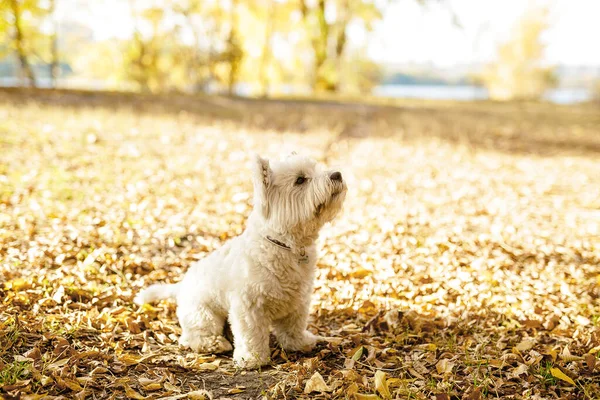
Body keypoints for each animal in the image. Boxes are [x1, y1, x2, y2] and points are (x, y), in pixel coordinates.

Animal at [133, 153, 344, 368]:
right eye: (300, 180)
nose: (337, 174)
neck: (285, 244)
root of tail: (180, 286)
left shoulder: (298, 302)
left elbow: (293, 326)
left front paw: (299, 343)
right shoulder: (249, 306)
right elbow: (252, 335)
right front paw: (252, 359)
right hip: (203, 315)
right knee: (192, 337)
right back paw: (216, 343)